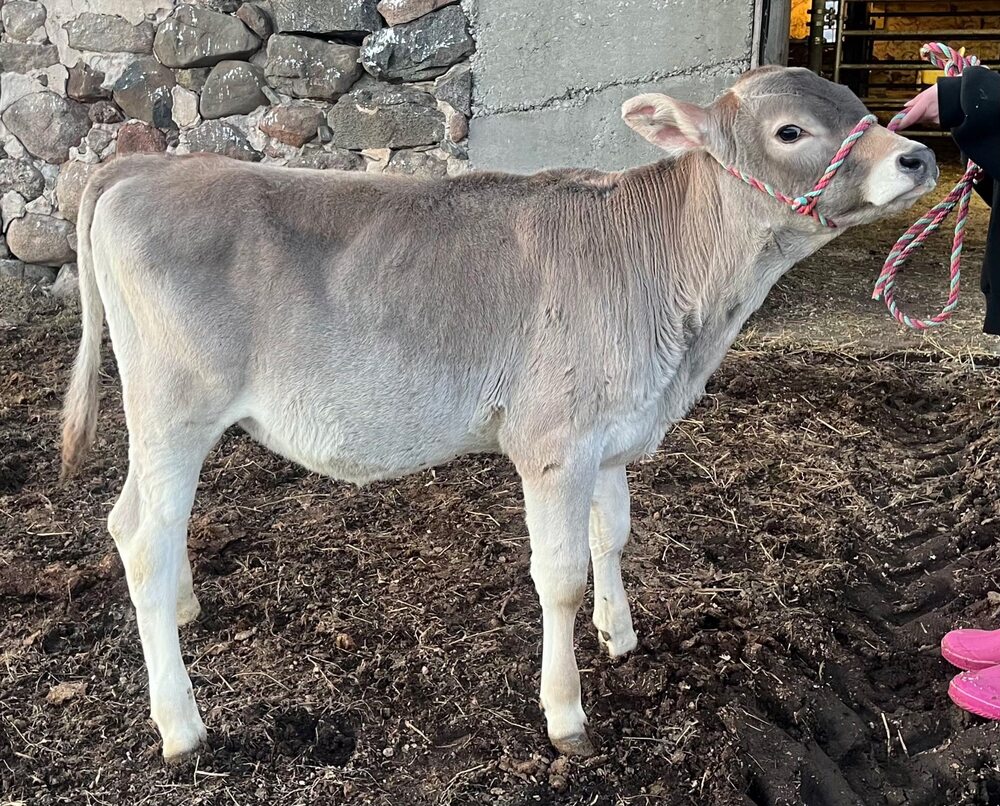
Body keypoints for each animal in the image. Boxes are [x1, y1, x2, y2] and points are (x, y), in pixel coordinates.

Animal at [61, 65, 936, 760]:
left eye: (857, 103)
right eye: (791, 130)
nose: (918, 154)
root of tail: (139, 168)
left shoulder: (610, 435)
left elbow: (612, 534)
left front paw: (621, 636)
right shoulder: (553, 441)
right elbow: (560, 576)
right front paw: (566, 714)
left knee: (155, 527)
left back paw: (185, 606)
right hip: (170, 406)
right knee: (137, 532)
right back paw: (181, 727)